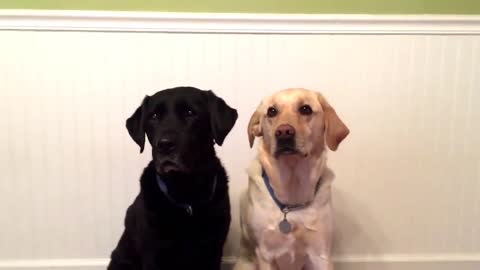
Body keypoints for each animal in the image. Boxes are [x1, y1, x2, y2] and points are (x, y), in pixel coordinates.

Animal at [108, 86, 237, 270]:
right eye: (154, 116)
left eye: (190, 112)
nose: (164, 145)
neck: (185, 189)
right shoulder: (154, 254)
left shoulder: (213, 251)